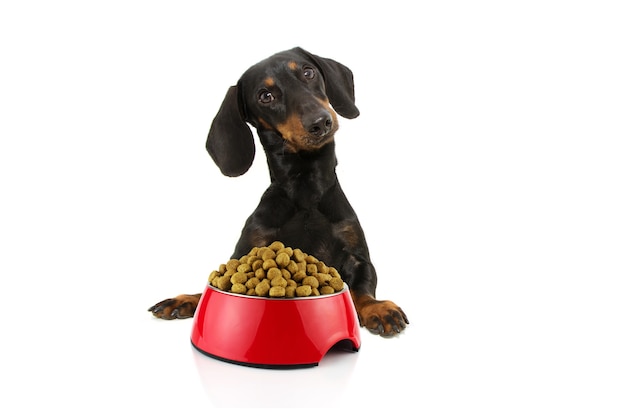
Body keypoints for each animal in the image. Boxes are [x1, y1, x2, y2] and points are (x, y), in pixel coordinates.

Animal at [149, 47, 408, 336]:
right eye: (266, 96)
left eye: (308, 72)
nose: (320, 122)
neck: (305, 189)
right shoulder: (244, 253)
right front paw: (188, 299)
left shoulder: (359, 258)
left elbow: (363, 287)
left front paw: (377, 308)